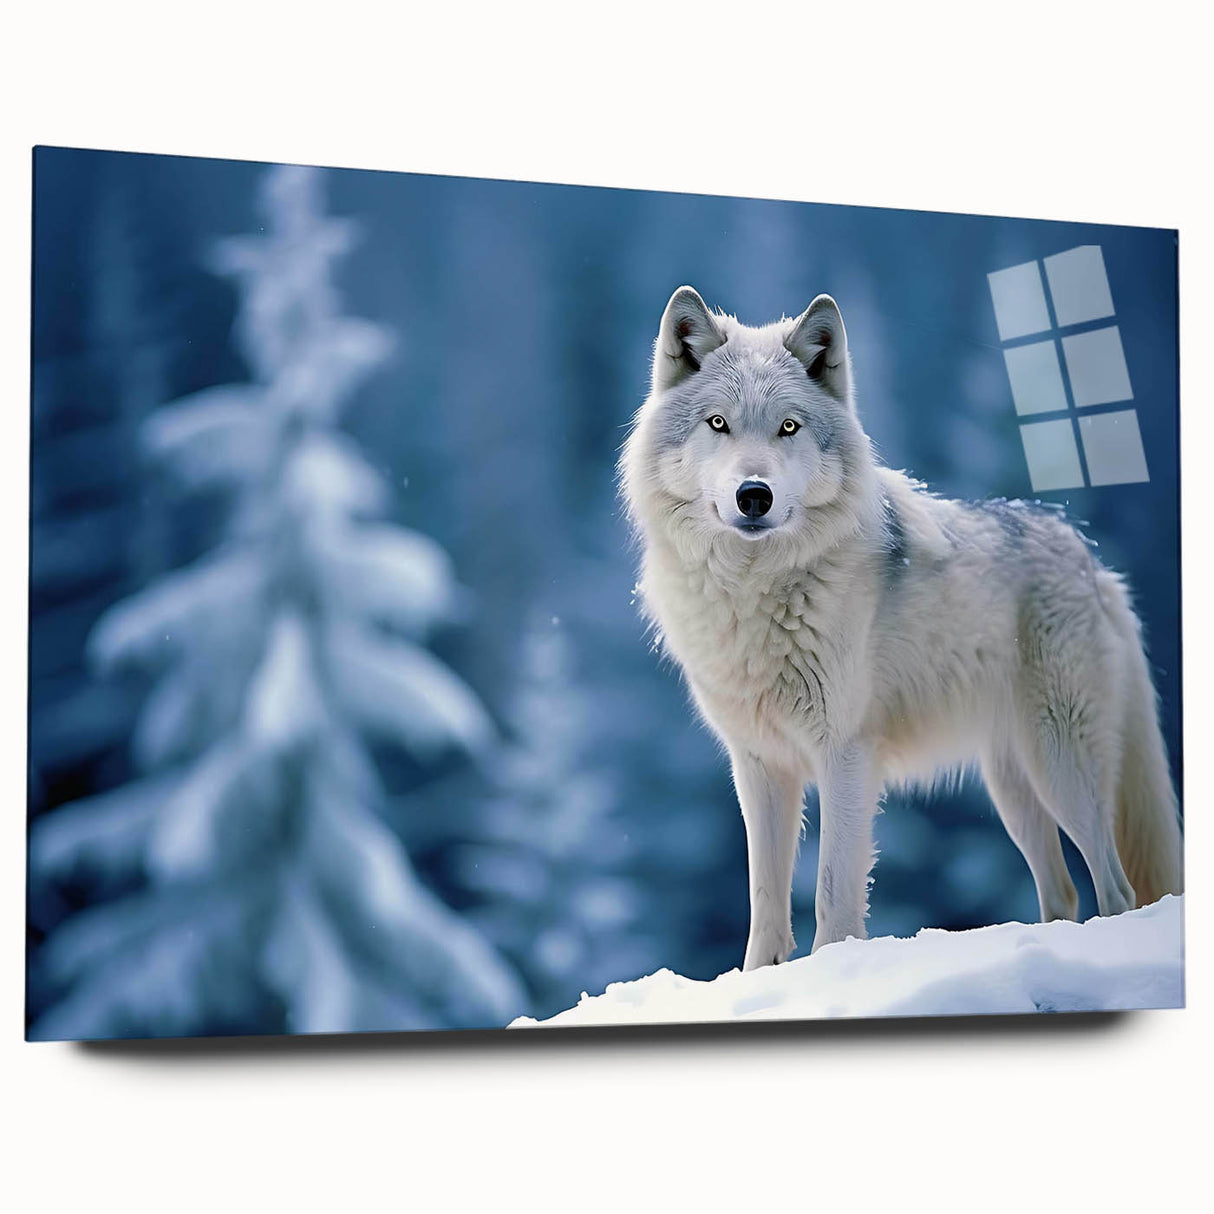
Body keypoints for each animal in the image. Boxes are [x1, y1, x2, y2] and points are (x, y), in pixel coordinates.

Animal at [620, 285, 1183, 970]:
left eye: (789, 427)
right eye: (717, 424)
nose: (754, 494)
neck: (756, 594)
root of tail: (1094, 564)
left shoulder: (845, 754)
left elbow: (831, 892)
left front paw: (833, 971)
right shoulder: (759, 766)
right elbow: (765, 903)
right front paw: (760, 979)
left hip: (1061, 768)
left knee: (1116, 889)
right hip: (1014, 790)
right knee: (1064, 893)